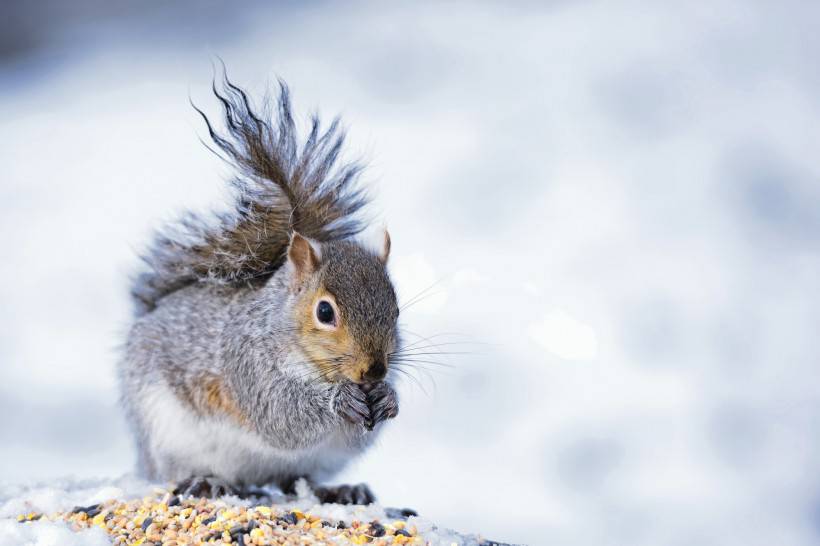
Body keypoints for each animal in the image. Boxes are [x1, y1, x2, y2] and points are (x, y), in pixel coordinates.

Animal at [120, 74, 402, 504]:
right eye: (325, 312)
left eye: (397, 310)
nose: (375, 371)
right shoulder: (248, 364)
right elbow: (281, 416)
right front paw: (339, 400)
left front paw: (388, 397)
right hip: (164, 433)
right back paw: (208, 481)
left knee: (297, 479)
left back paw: (337, 490)